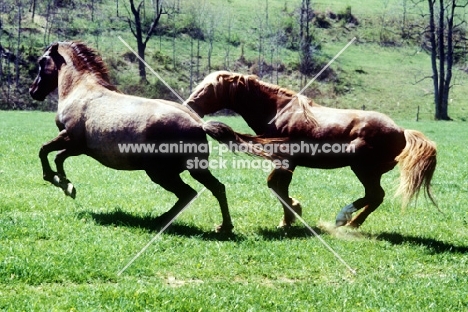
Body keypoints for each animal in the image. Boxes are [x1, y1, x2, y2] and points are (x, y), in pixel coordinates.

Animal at [28, 42, 278, 233]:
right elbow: (58, 157)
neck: (82, 91)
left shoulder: (70, 138)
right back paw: (223, 227)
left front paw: (59, 181)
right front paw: (67, 185)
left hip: (161, 173)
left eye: (41, 61)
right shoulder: (79, 147)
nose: (33, 91)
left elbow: (45, 151)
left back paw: (162, 221)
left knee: (189, 193)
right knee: (215, 188)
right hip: (194, 169)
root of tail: (199, 124)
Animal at [185, 70, 436, 227]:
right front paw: (290, 216)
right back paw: (350, 222)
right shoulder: (286, 163)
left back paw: (345, 219)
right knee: (374, 197)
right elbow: (278, 187)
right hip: (367, 171)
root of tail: (402, 131)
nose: (189, 106)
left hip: (363, 169)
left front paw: (291, 215)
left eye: (209, 88)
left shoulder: (286, 161)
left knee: (375, 195)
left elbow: (275, 186)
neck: (280, 111)